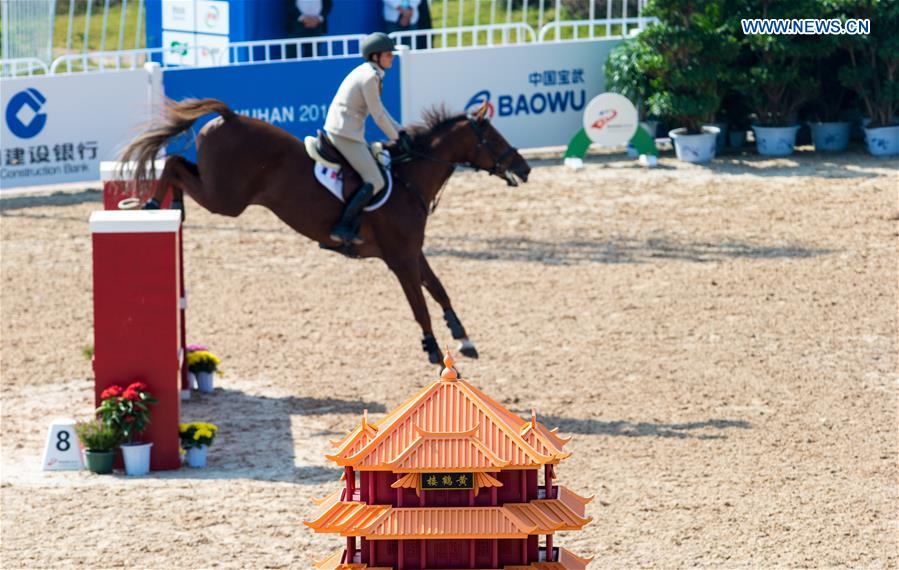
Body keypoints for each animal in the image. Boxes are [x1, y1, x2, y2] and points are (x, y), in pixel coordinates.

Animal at [118, 97, 528, 364]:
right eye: (493, 138)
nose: (524, 169)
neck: (410, 178)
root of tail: (229, 117)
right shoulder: (399, 260)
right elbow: (419, 306)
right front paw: (432, 350)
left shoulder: (413, 252)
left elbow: (439, 290)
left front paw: (463, 337)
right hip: (226, 199)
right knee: (173, 162)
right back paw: (152, 204)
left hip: (219, 189)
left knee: (177, 163)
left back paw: (171, 205)